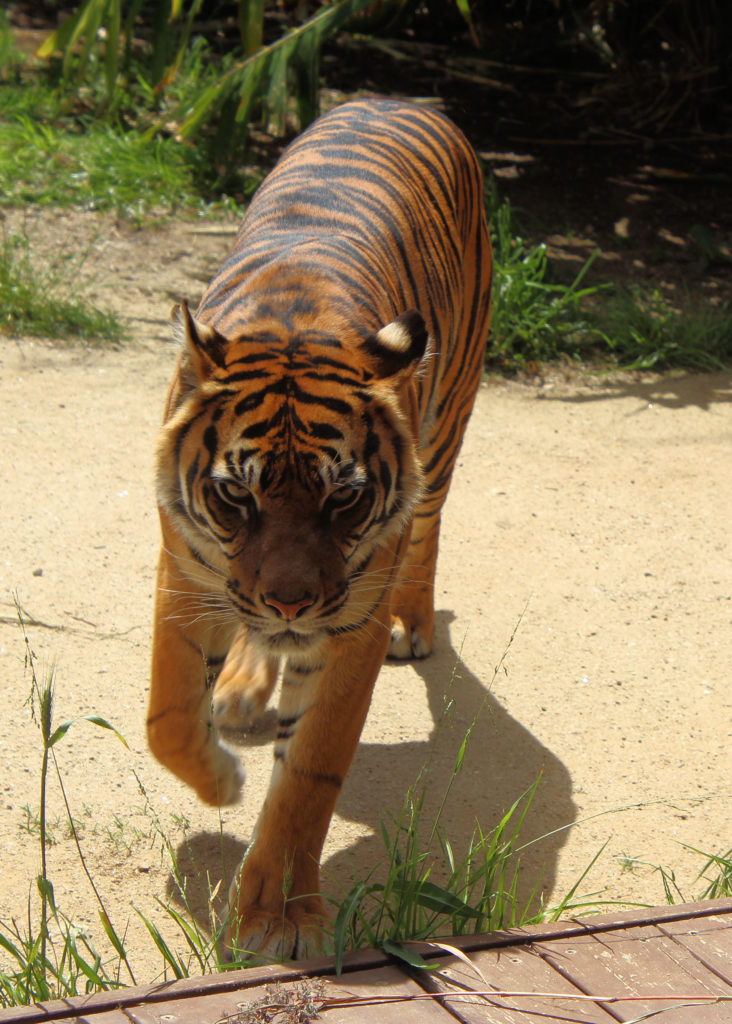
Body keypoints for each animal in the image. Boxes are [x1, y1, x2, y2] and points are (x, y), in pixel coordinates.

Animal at [148, 96, 493, 958]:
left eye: (345, 499)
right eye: (235, 497)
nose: (292, 601)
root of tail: (400, 99)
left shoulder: (350, 623)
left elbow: (309, 777)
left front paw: (277, 916)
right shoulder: (186, 574)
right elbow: (167, 719)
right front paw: (223, 780)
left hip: (446, 433)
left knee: (430, 527)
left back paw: (406, 621)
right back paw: (241, 687)